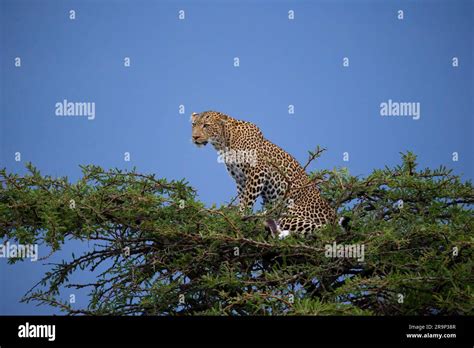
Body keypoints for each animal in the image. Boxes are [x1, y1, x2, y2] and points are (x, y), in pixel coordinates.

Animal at [191, 110, 338, 238]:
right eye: (193, 125)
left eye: (206, 125)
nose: (194, 137)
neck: (225, 142)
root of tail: (333, 215)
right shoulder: (240, 179)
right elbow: (242, 198)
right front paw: (239, 217)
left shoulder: (257, 171)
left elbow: (248, 200)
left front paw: (241, 218)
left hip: (290, 214)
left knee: (322, 229)